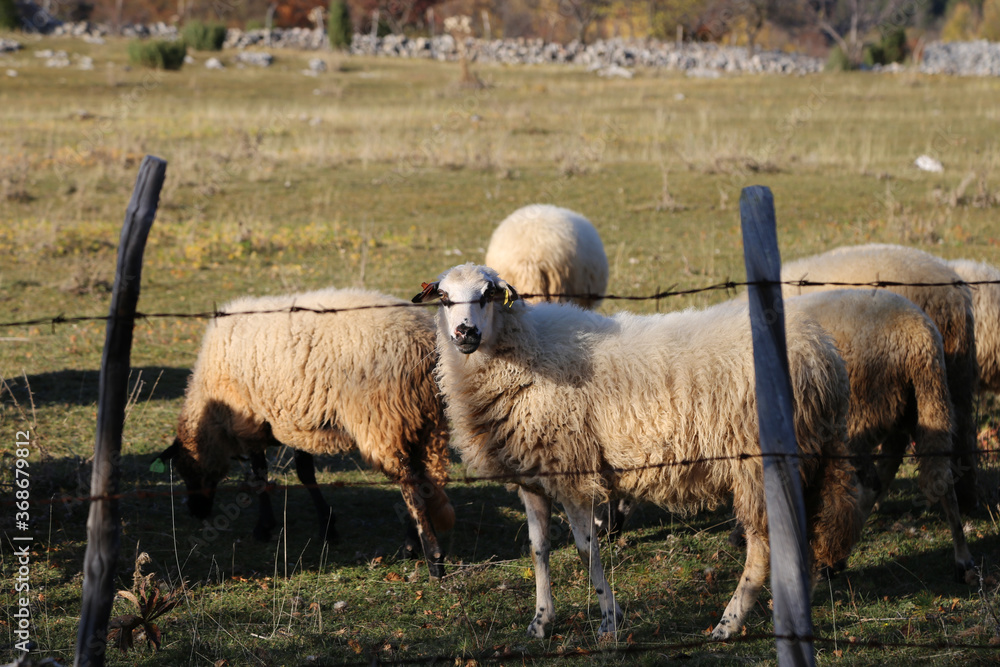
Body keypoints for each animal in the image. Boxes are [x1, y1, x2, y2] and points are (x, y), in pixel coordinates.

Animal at [154, 287, 455, 579]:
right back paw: (412, 546)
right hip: (426, 424)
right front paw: (327, 526)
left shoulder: (249, 420)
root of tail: (424, 340)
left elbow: (259, 477)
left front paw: (264, 527)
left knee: (411, 486)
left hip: (383, 420)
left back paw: (432, 559)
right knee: (424, 481)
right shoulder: (298, 419)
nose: (196, 512)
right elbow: (304, 472)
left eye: (186, 471)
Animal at [413, 263, 861, 639]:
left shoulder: (572, 469)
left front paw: (609, 620)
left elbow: (586, 549)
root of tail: (823, 355)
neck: (525, 353)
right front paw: (541, 622)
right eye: (445, 298)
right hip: (805, 457)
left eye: (488, 294)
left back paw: (728, 623)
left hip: (759, 464)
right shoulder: (534, 476)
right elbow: (539, 550)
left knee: (764, 545)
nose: (465, 333)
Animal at [784, 290, 975, 581]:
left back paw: (832, 561)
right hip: (924, 405)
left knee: (865, 485)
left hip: (861, 412)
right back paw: (963, 559)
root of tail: (921, 337)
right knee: (939, 478)